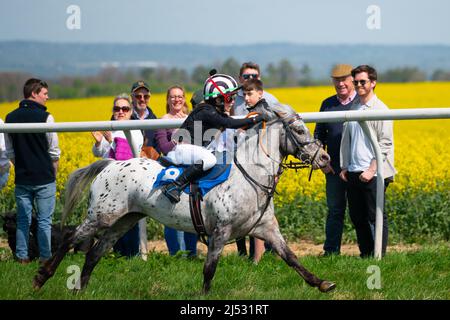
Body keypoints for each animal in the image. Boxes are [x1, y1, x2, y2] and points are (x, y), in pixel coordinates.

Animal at [32, 103, 334, 296]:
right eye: (299, 131)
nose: (325, 158)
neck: (249, 176)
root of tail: (110, 164)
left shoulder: (266, 229)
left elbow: (292, 258)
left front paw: (322, 283)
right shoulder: (220, 232)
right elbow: (209, 268)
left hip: (124, 220)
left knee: (95, 252)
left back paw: (81, 289)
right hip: (101, 216)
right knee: (70, 238)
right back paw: (41, 277)